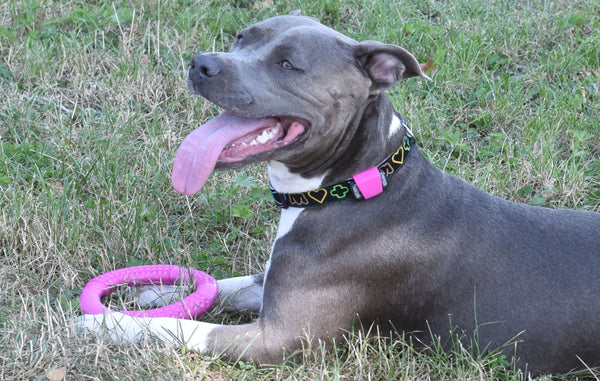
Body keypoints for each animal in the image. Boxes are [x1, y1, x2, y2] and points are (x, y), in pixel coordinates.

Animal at [79, 15, 600, 374]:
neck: (352, 185)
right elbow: (223, 285)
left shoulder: (282, 338)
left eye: (287, 64)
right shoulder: (274, 285)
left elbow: (185, 328)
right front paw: (152, 292)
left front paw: (106, 324)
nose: (201, 62)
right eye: (242, 38)